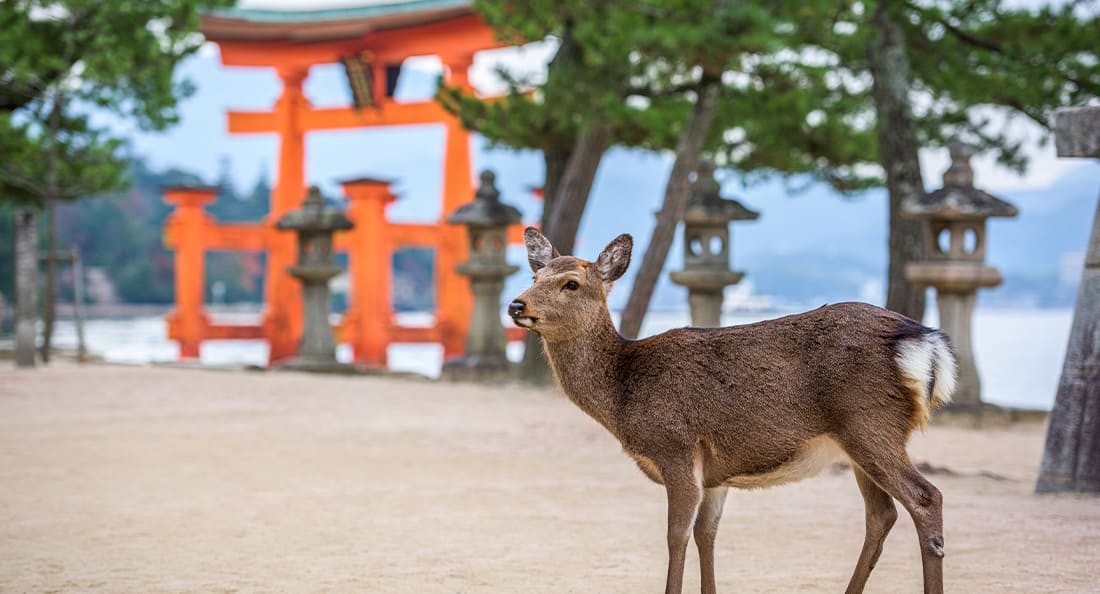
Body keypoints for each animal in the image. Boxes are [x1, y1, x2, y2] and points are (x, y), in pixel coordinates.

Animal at [510, 228, 959, 594]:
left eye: (571, 283)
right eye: (534, 277)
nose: (516, 305)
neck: (623, 397)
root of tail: (925, 342)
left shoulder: (675, 448)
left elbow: (676, 536)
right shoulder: (715, 473)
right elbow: (707, 535)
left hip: (869, 424)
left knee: (926, 497)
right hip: (860, 442)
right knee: (881, 515)